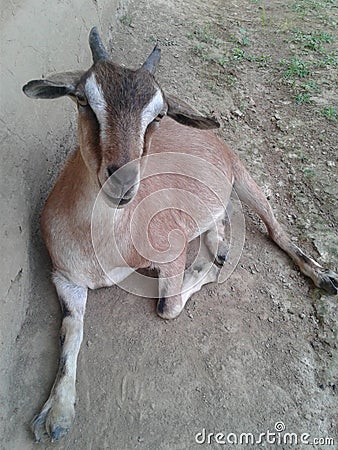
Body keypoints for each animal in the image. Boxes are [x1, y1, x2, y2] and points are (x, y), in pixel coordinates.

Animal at [22, 28, 336, 442]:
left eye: (158, 113)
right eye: (83, 100)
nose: (123, 182)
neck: (103, 244)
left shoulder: (169, 256)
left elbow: (167, 307)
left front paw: (208, 269)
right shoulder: (65, 277)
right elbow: (70, 332)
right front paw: (57, 413)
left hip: (245, 179)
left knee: (277, 230)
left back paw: (321, 275)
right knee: (219, 220)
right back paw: (220, 244)